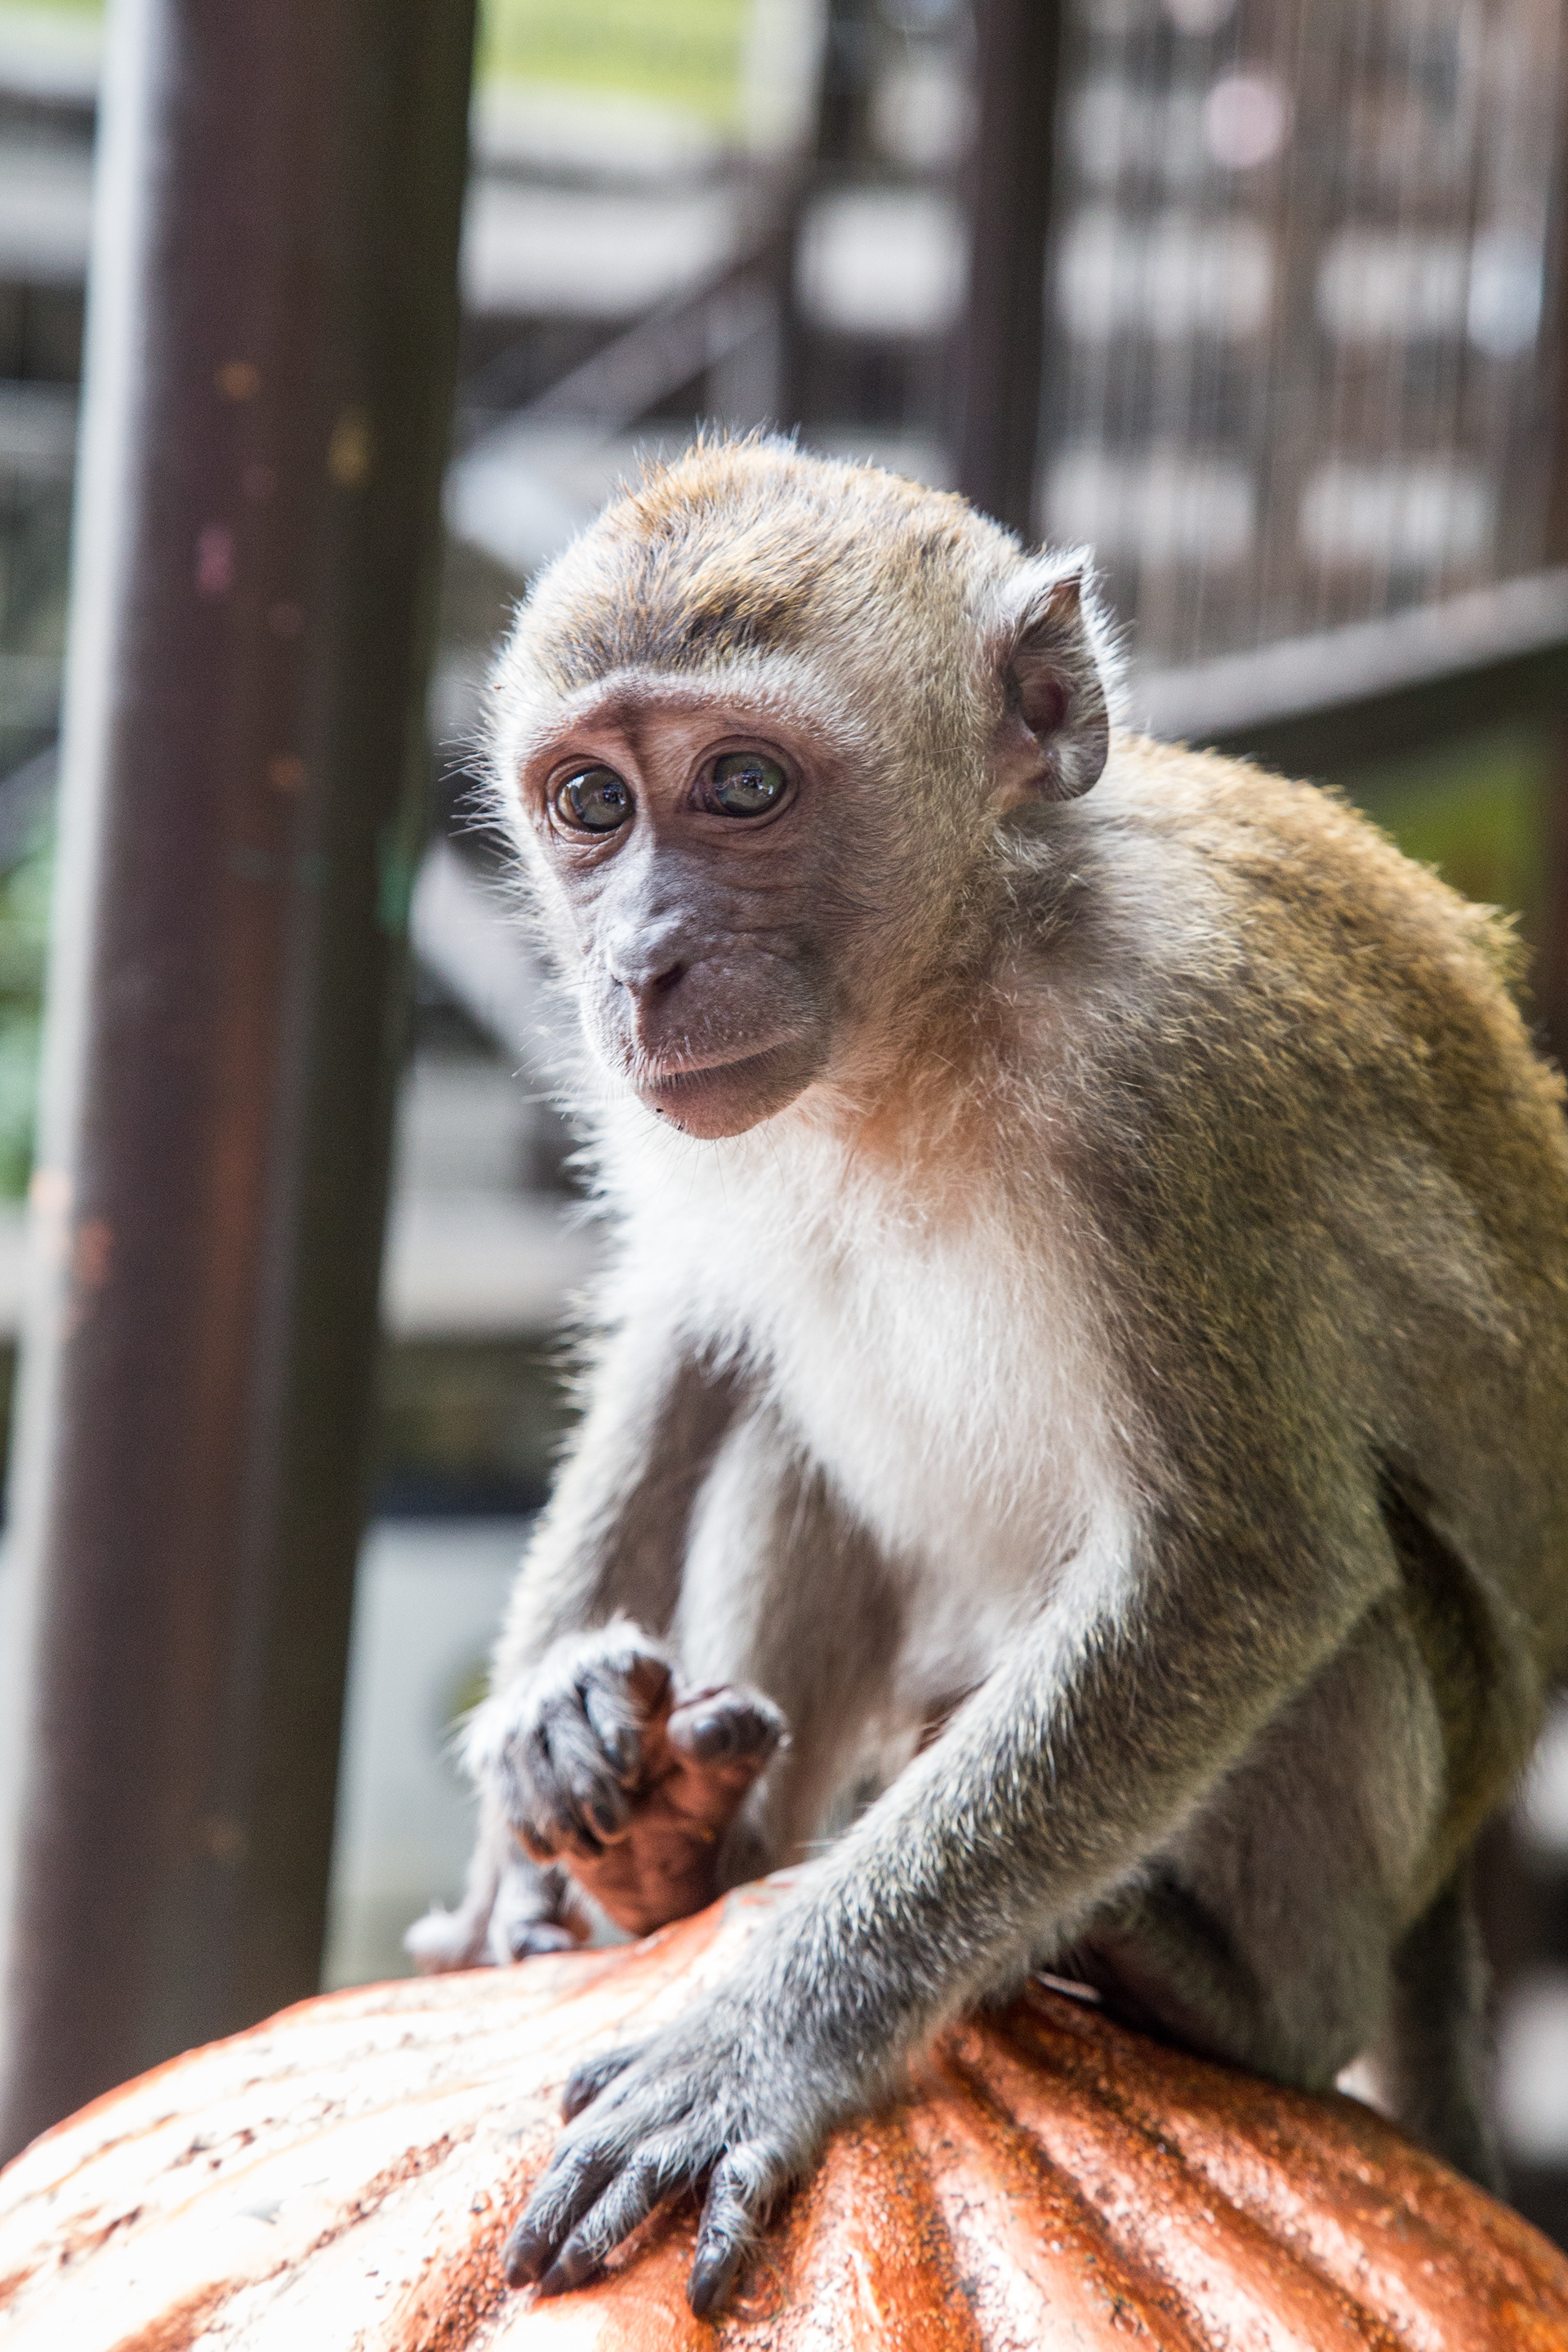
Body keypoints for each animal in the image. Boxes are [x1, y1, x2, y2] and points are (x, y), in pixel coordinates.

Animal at [406, 435, 1568, 2317]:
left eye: (742, 784)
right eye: (591, 805)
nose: (638, 964)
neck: (935, 1011)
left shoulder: (1180, 1086)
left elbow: (1248, 1569)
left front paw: (770, 2041)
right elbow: (695, 1325)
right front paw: (542, 1747)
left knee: (1356, 1617)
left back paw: (1242, 2002)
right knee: (793, 1425)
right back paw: (685, 1850)